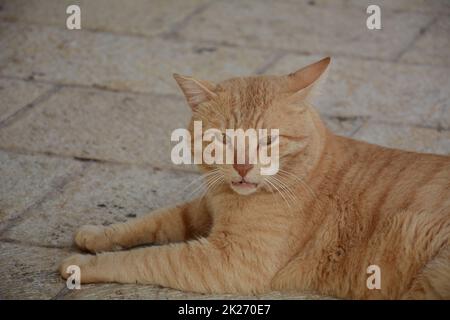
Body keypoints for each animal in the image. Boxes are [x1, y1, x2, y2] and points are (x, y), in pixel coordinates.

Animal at [60, 57, 450, 300]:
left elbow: (145, 258)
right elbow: (150, 223)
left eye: (268, 140)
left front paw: (81, 266)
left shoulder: (229, 260)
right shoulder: (202, 208)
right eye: (223, 139)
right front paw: (98, 235)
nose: (243, 167)